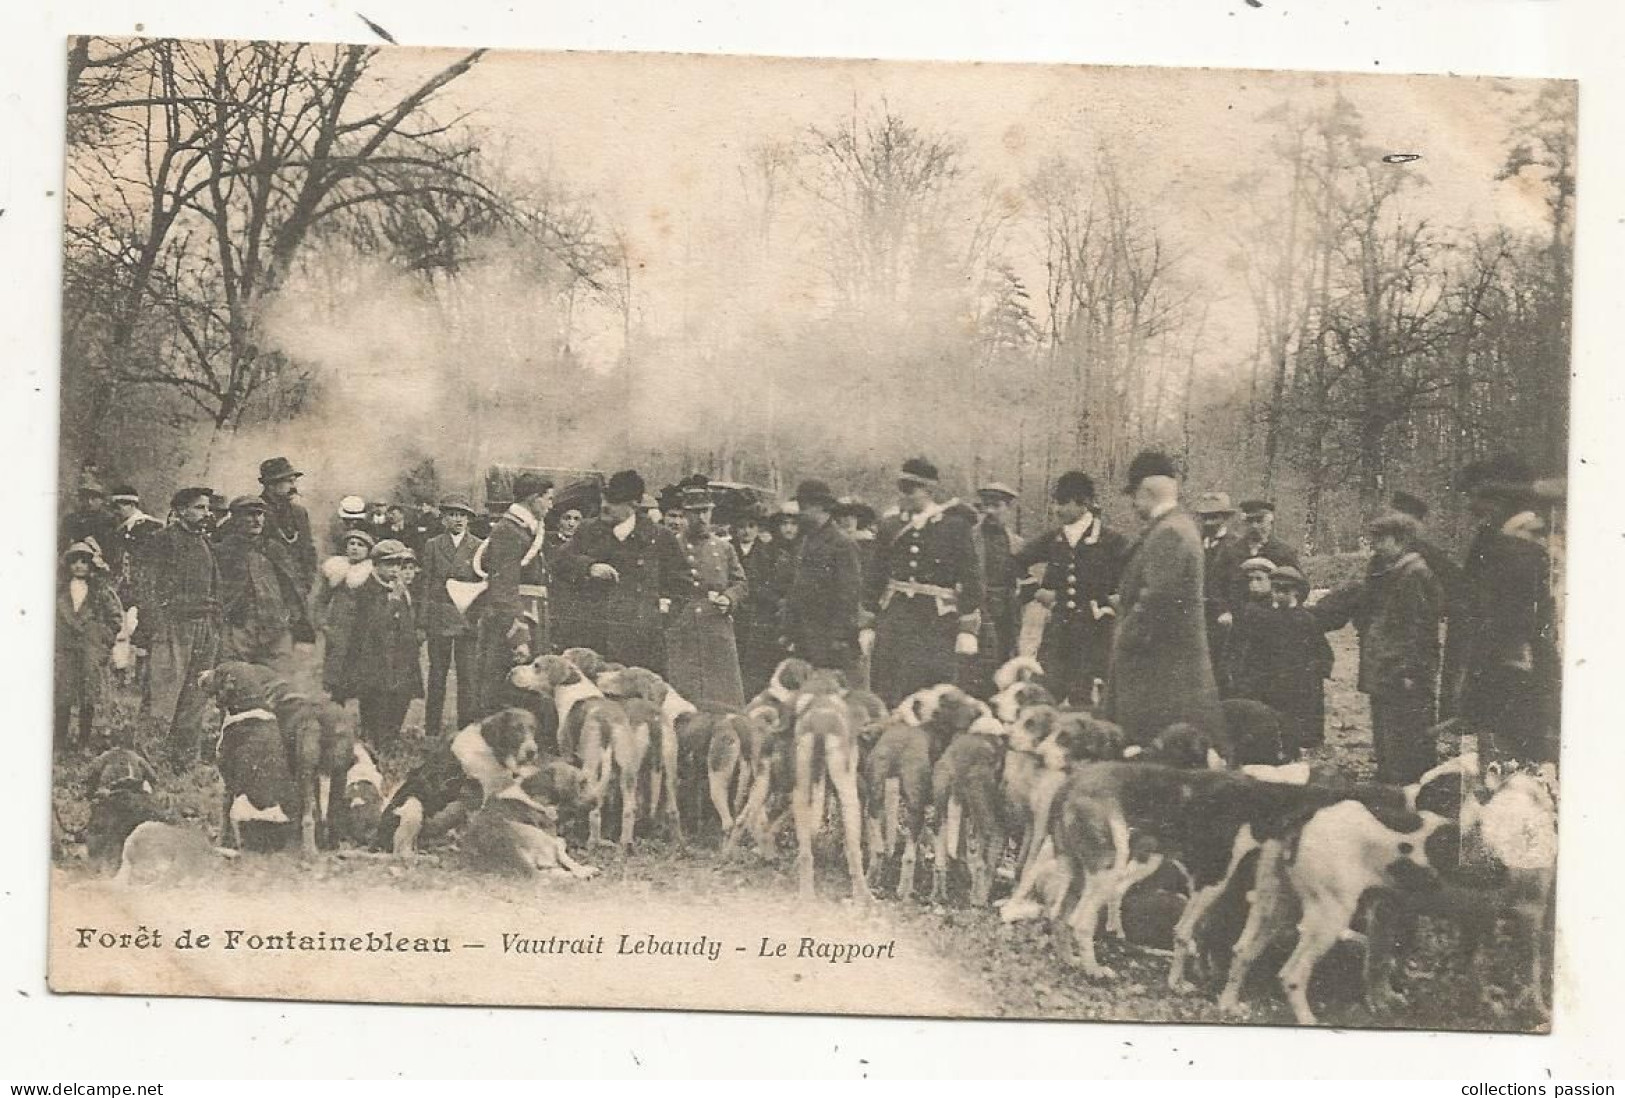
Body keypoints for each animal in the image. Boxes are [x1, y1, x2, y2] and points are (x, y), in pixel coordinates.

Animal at [373, 704, 539, 857]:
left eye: (533, 729)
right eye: (516, 729)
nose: (532, 752)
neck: (491, 748)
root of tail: (376, 837)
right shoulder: (475, 799)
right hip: (412, 804)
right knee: (400, 849)